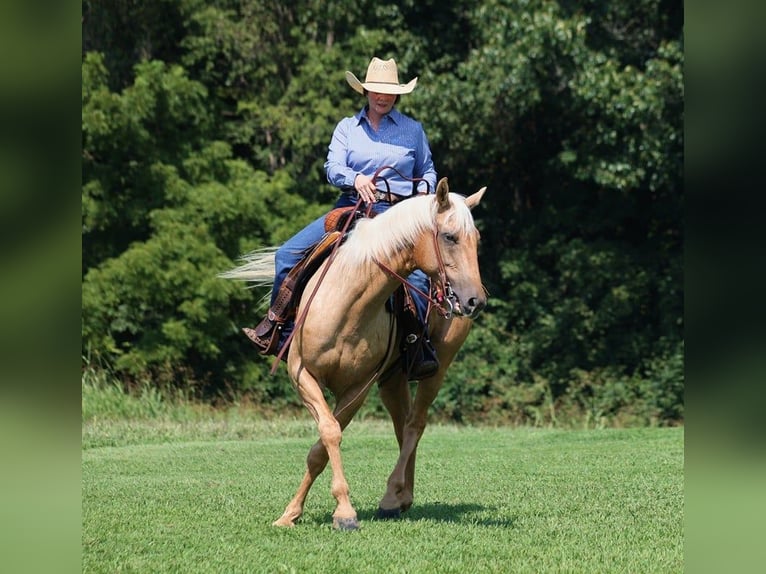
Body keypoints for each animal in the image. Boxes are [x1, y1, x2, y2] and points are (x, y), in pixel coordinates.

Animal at [224, 177, 486, 530]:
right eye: (449, 236)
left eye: (476, 239)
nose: (475, 300)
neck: (346, 302)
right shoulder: (302, 375)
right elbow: (326, 438)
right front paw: (291, 513)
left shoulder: (357, 389)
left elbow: (325, 442)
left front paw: (343, 512)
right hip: (393, 379)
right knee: (402, 425)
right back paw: (402, 497)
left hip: (439, 367)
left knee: (415, 424)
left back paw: (391, 496)